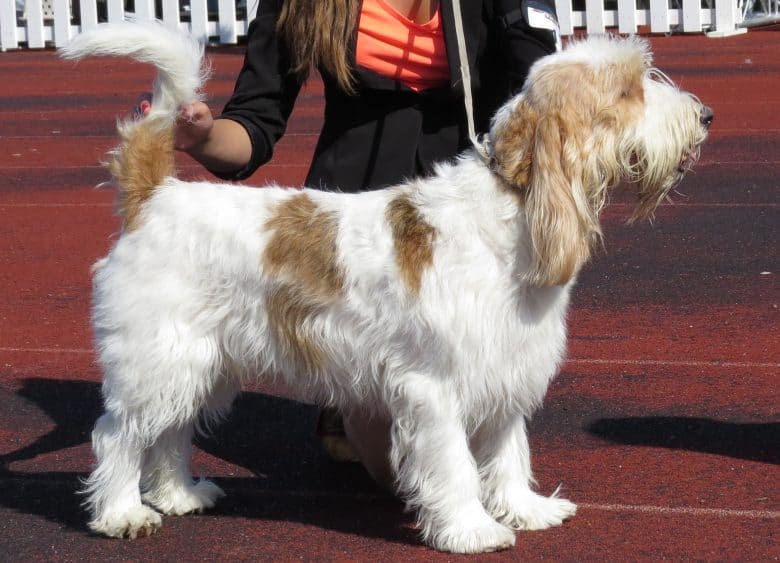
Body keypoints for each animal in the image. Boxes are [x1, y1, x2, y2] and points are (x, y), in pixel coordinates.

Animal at [62, 23, 712, 556]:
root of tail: (156, 194)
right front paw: (472, 530)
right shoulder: (436, 386)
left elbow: (508, 452)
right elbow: (455, 464)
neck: (511, 211)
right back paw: (122, 513)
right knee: (118, 434)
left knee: (170, 431)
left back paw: (178, 495)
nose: (705, 116)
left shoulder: (505, 367)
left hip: (203, 360)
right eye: (629, 90)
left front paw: (525, 510)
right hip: (158, 356)